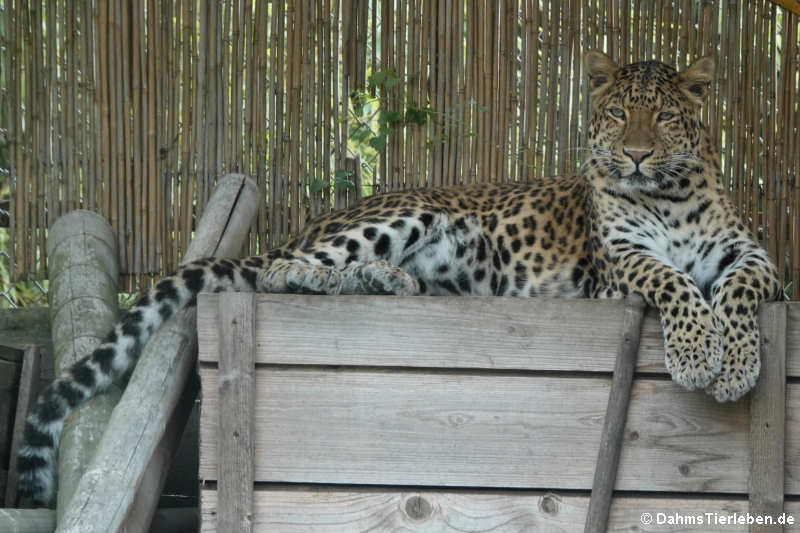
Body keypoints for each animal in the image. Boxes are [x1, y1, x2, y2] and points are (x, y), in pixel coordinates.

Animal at [17, 48, 780, 502]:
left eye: (667, 117)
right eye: (620, 113)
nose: (637, 155)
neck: (668, 195)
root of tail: (310, 224)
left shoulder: (759, 261)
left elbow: (734, 289)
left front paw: (737, 363)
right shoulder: (620, 264)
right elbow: (674, 283)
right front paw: (702, 358)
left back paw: (389, 284)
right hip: (407, 212)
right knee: (278, 272)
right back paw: (338, 278)